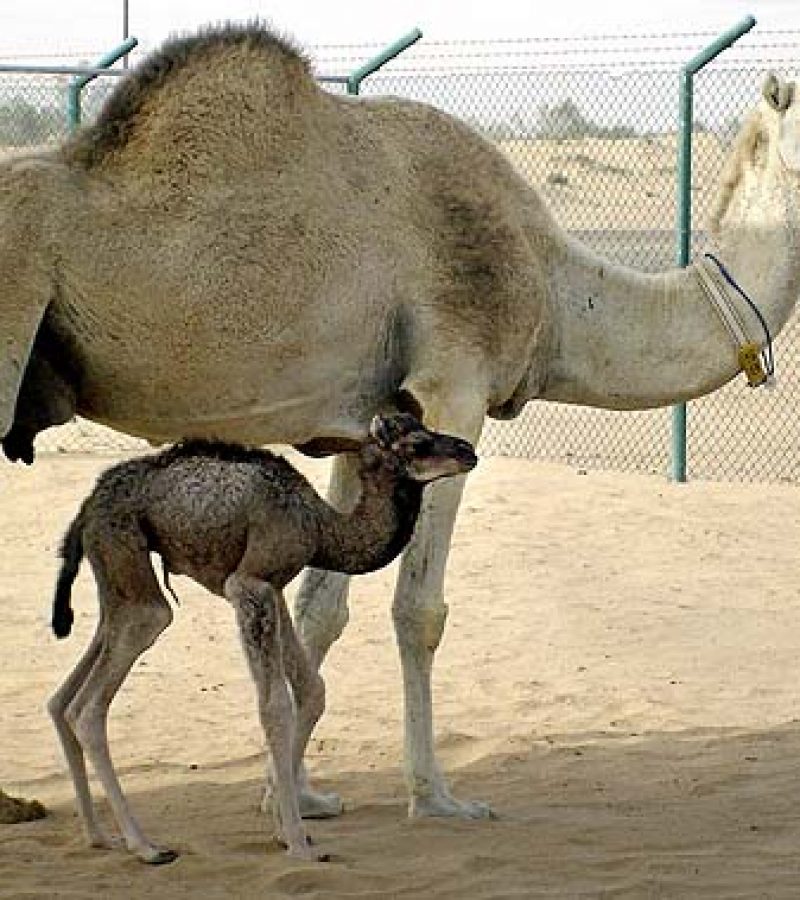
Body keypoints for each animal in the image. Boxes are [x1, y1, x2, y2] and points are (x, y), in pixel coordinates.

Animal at [47, 413, 477, 864]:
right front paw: (299, 844)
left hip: (116, 577)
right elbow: (275, 707)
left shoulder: (275, 587)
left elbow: (313, 689)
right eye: (417, 444)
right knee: (90, 705)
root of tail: (87, 508)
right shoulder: (250, 583)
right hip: (129, 562)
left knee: (63, 696)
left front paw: (287, 831)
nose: (468, 451)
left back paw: (99, 835)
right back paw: (145, 846)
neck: (320, 527)